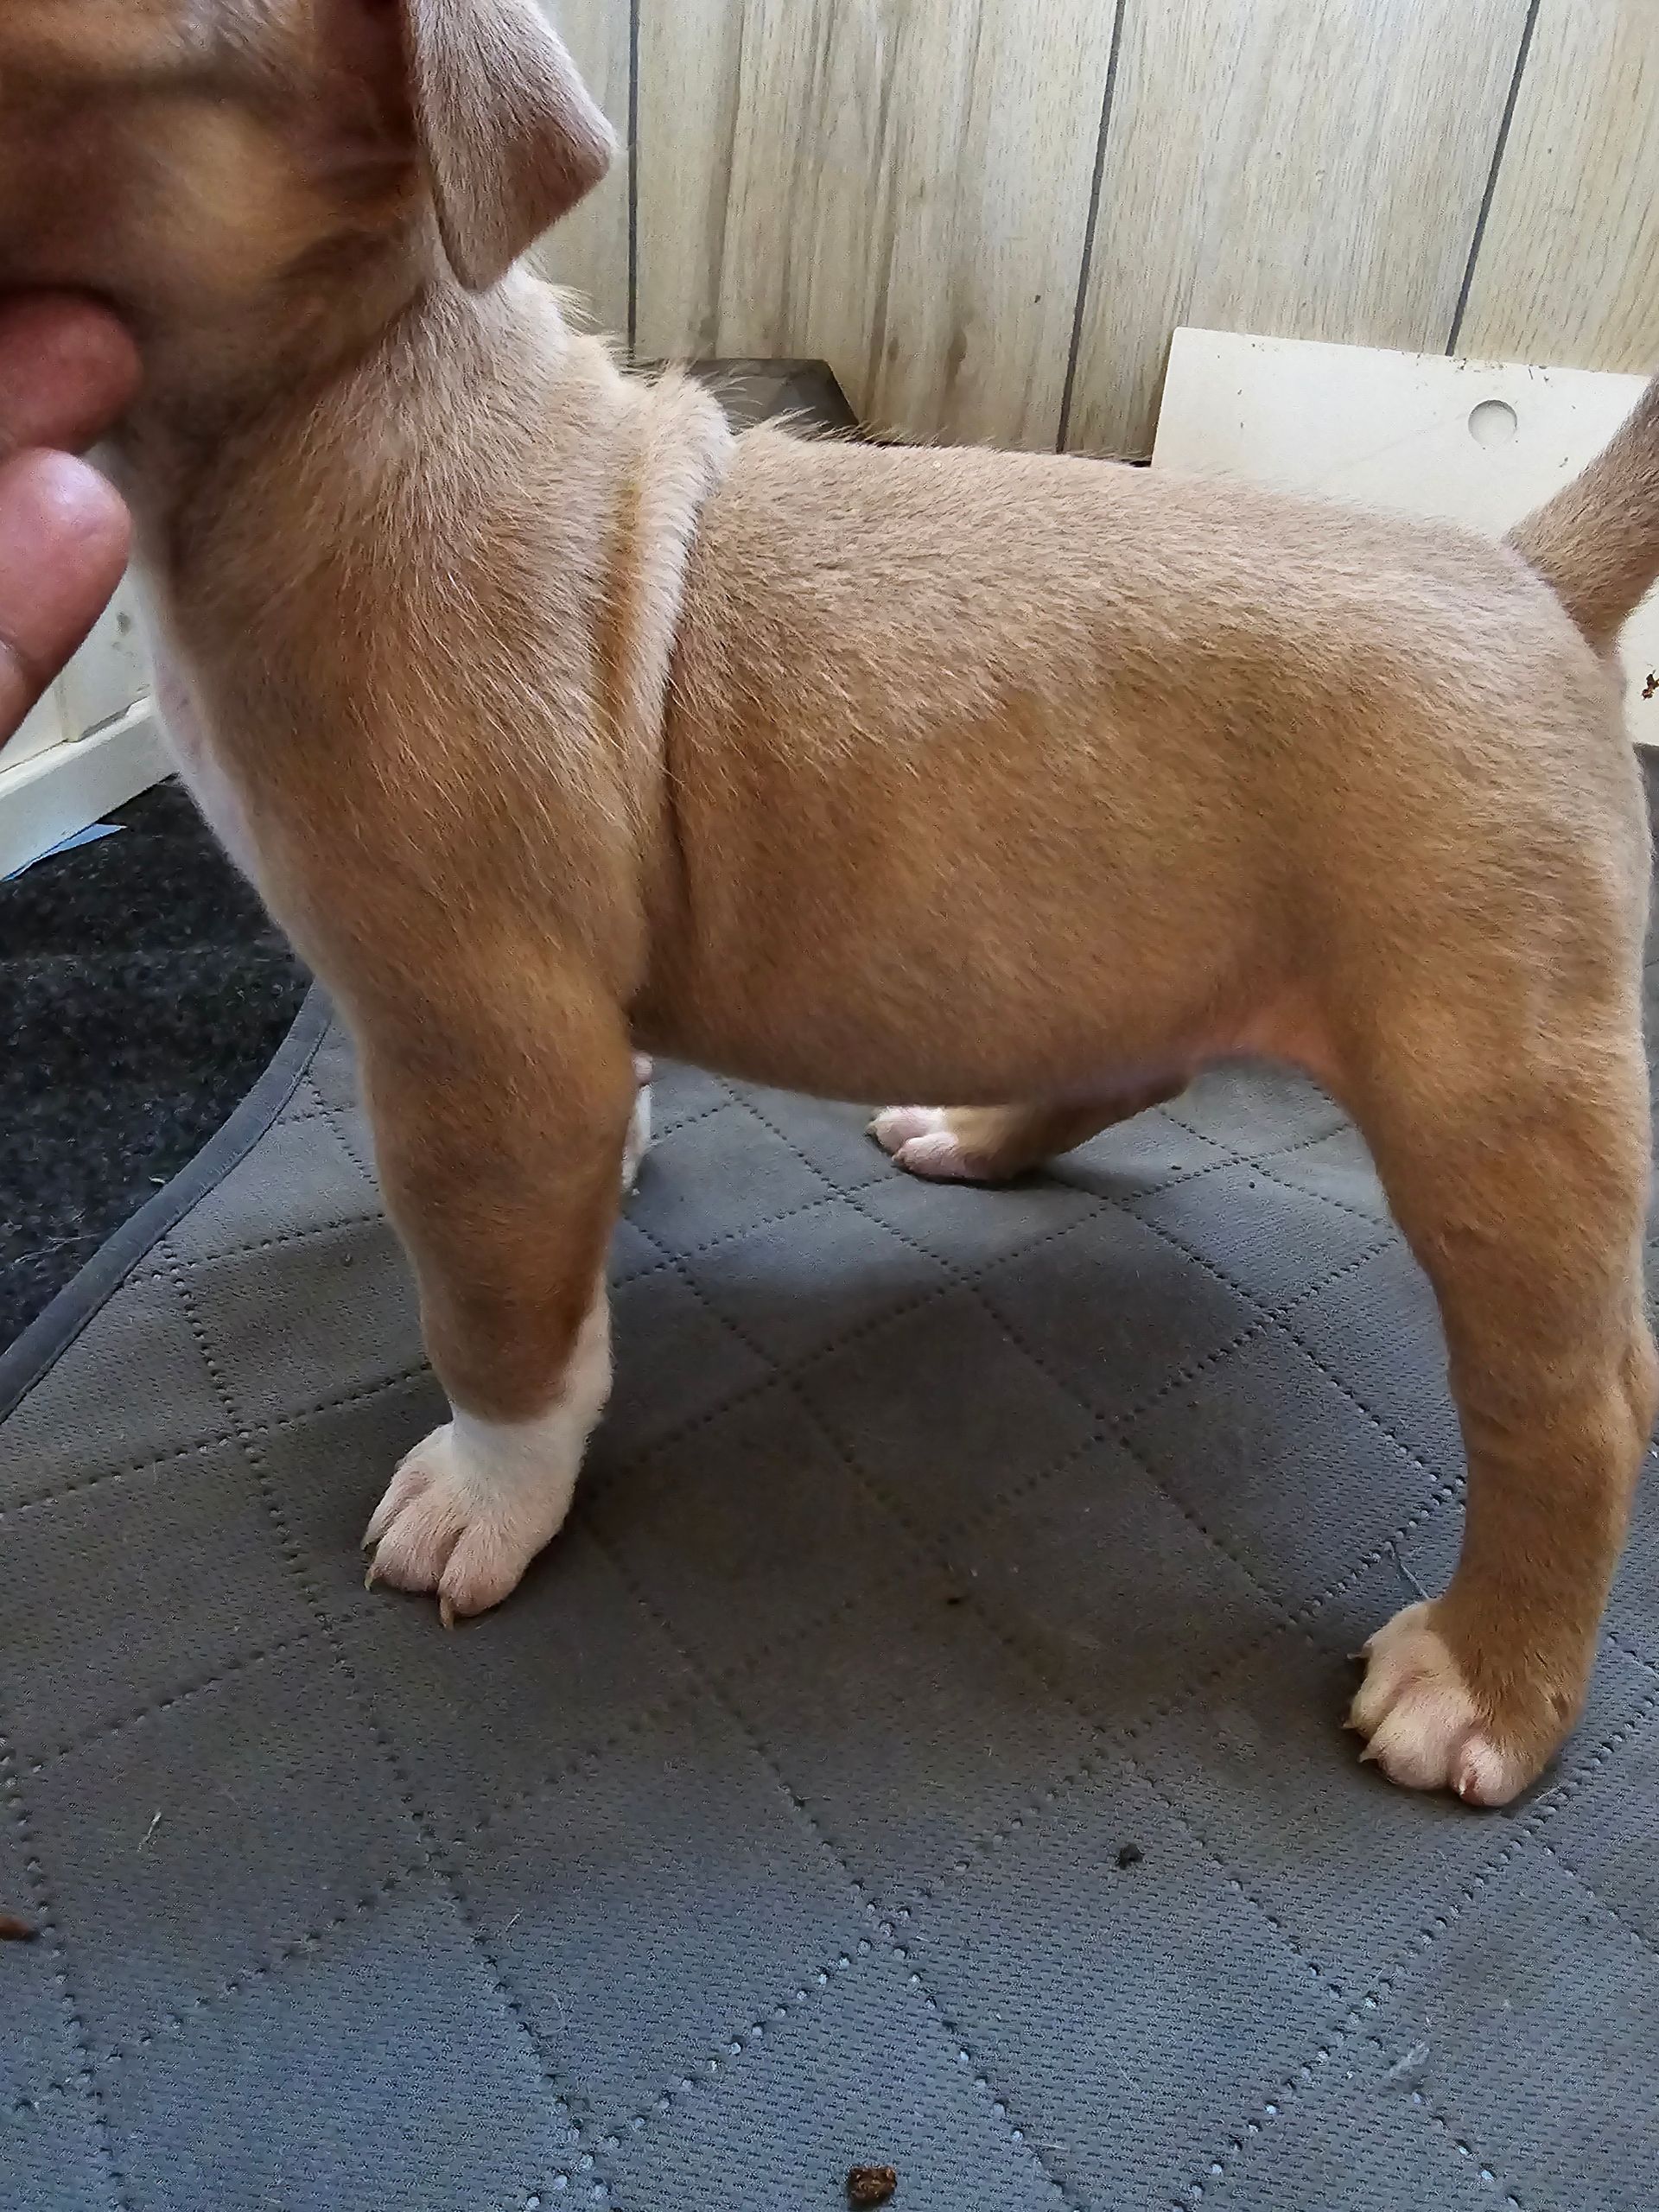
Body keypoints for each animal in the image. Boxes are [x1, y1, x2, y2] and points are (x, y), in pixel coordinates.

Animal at [3, 0, 1656, 1807]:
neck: (350, 386)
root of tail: (1524, 573)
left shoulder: (477, 1048)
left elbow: (496, 1316)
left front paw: (488, 1491)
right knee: (1138, 1064)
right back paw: (981, 1134)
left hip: (1487, 1091)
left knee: (1578, 1404)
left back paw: (1489, 1679)